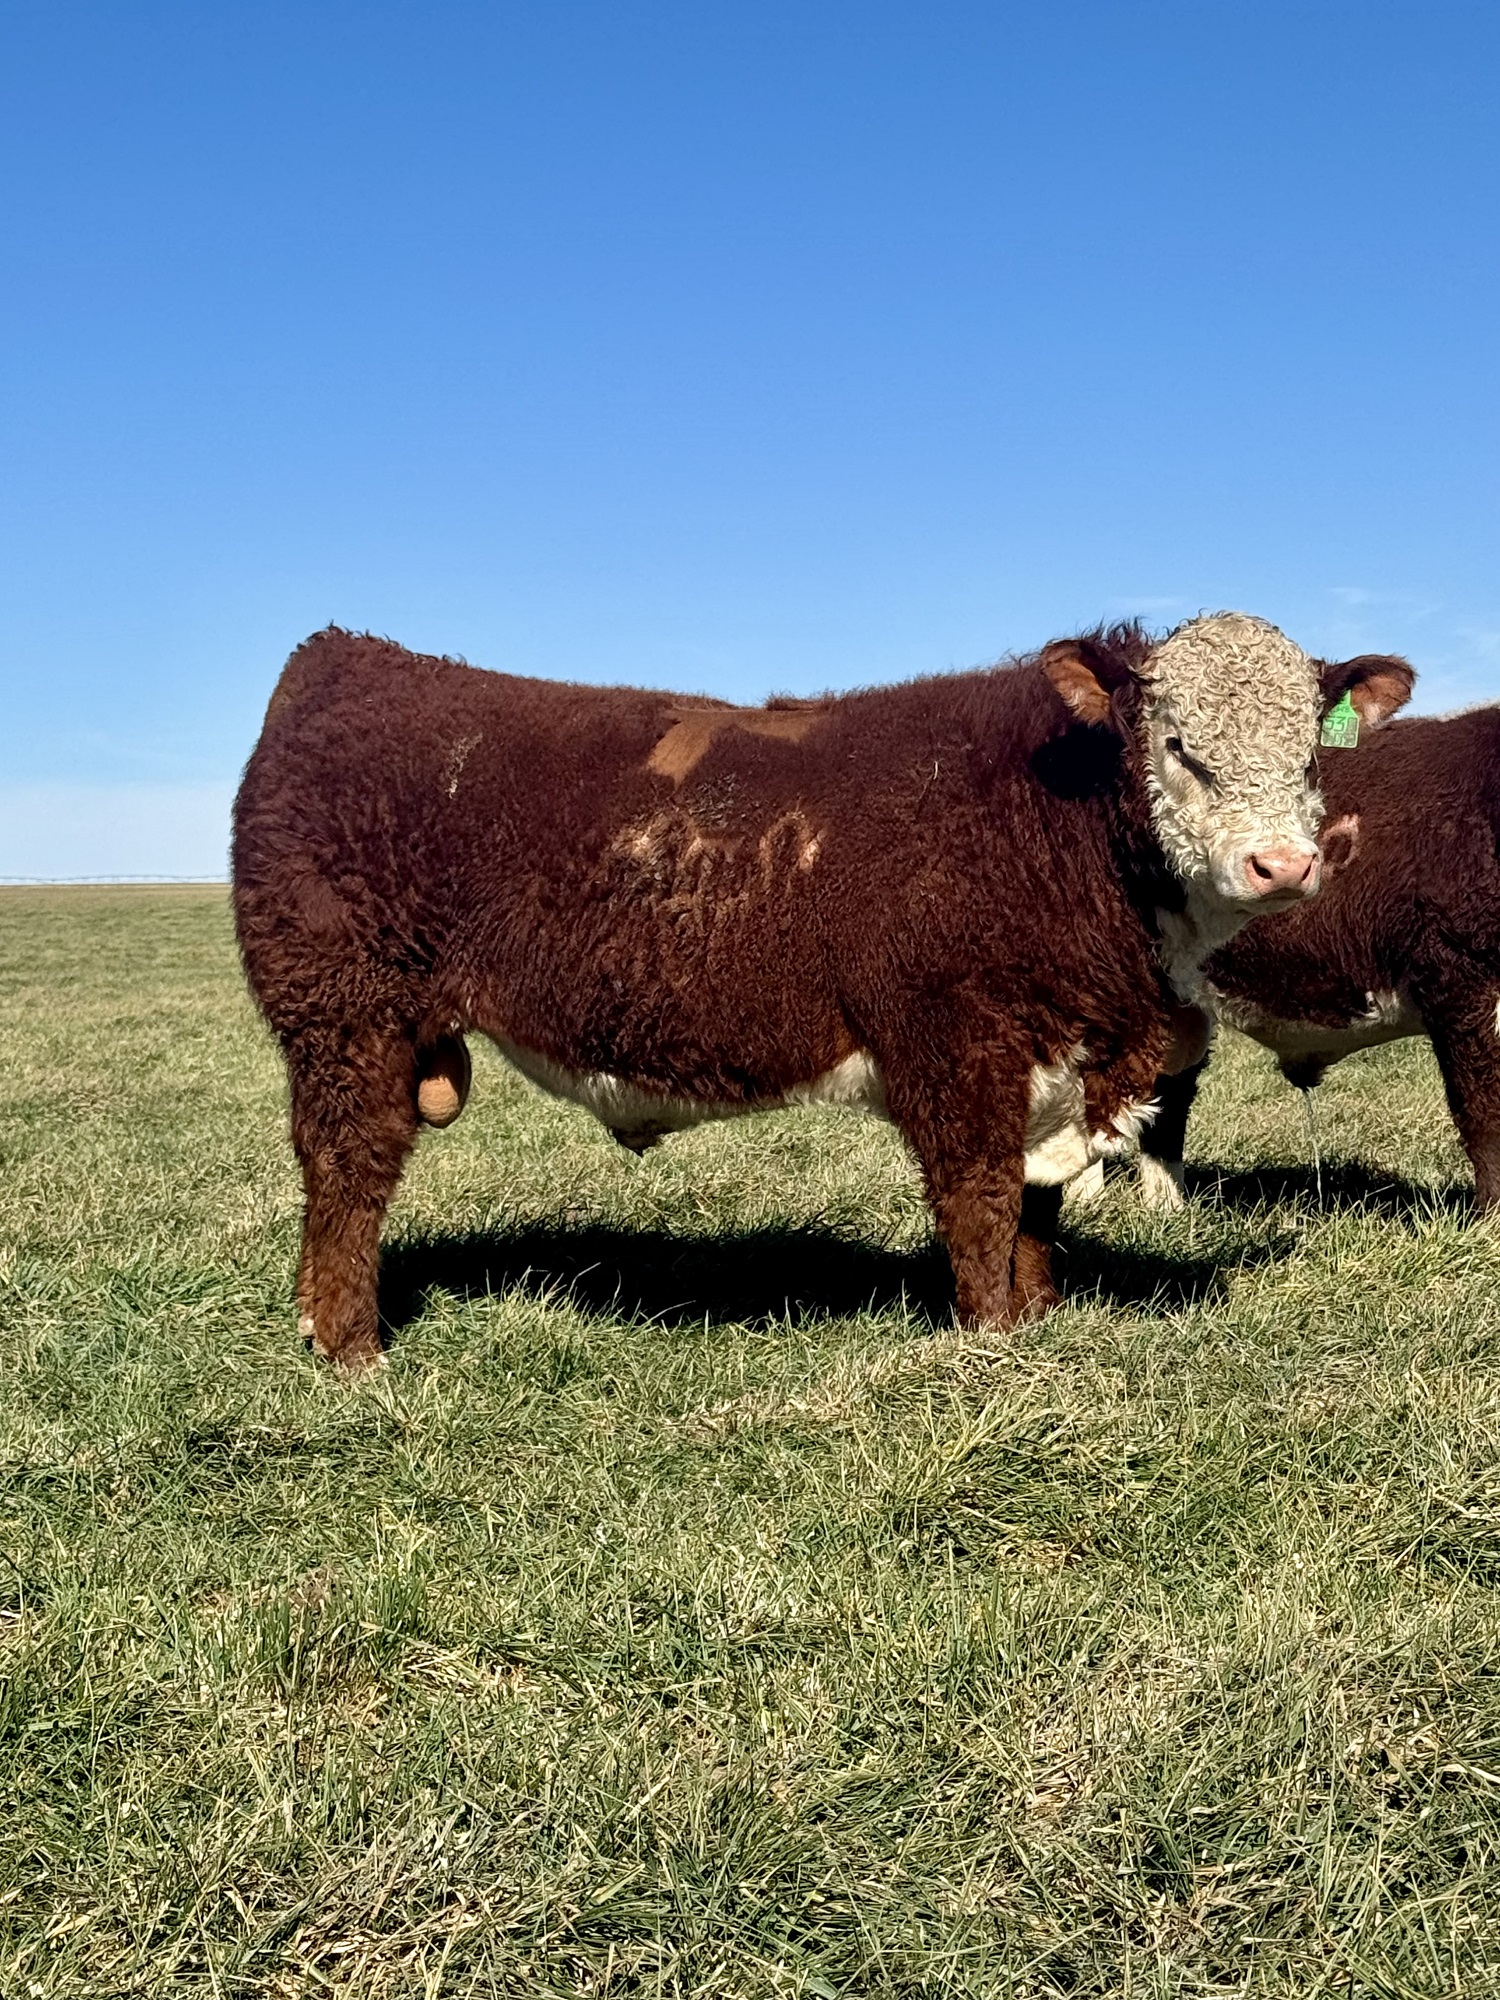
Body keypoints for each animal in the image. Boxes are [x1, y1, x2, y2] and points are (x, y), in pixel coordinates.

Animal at [231, 616, 1411, 1369]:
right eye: (1177, 746)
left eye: (1312, 756)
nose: (1282, 866)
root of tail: (341, 657)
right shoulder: (954, 1044)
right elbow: (981, 1200)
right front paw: (990, 1341)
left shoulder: (1048, 1057)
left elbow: (1035, 1207)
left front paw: (1039, 1320)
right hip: (343, 1013)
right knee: (349, 1169)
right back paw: (351, 1350)